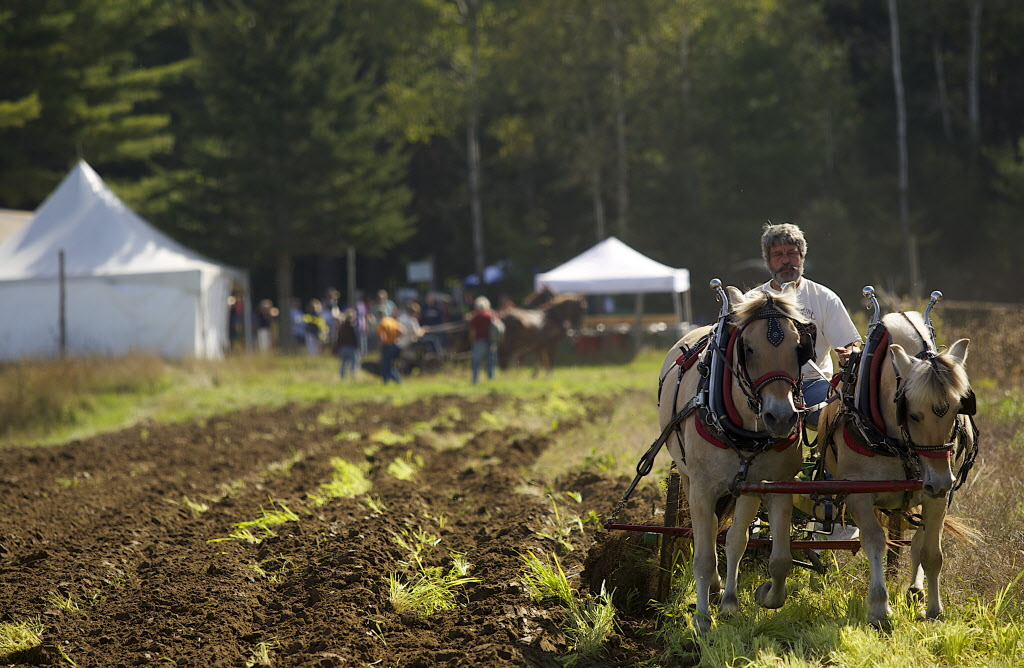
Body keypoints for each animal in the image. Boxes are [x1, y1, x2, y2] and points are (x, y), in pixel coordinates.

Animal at [655, 284, 815, 635]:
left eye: (799, 347)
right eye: (748, 349)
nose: (781, 417)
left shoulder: (773, 485)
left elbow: (775, 556)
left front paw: (764, 595)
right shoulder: (702, 488)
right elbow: (703, 555)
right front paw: (702, 620)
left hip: (744, 488)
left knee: (733, 538)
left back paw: (726, 596)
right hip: (687, 477)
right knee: (707, 532)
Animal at [815, 311, 974, 627]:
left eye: (956, 410)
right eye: (912, 413)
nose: (940, 481)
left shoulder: (936, 495)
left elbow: (931, 552)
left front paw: (935, 609)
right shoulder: (858, 493)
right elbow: (875, 541)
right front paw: (879, 608)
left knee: (916, 540)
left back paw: (915, 589)